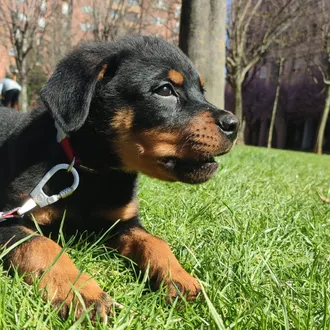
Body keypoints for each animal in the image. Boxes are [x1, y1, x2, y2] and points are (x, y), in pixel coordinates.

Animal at [0, 36, 237, 320]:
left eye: (202, 90)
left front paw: (180, 279)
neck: (94, 173)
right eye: (165, 90)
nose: (234, 125)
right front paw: (81, 292)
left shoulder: (122, 223)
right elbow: (40, 245)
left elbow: (155, 242)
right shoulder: (8, 218)